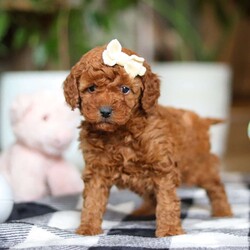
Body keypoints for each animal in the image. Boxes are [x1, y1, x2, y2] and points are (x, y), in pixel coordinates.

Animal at [63, 39, 232, 238]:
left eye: (125, 89)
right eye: (92, 88)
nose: (105, 111)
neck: (120, 132)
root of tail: (201, 120)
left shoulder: (162, 168)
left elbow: (167, 201)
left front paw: (169, 230)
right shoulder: (97, 170)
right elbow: (93, 200)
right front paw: (88, 228)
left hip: (198, 166)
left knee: (215, 185)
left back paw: (223, 211)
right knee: (151, 195)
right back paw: (144, 211)